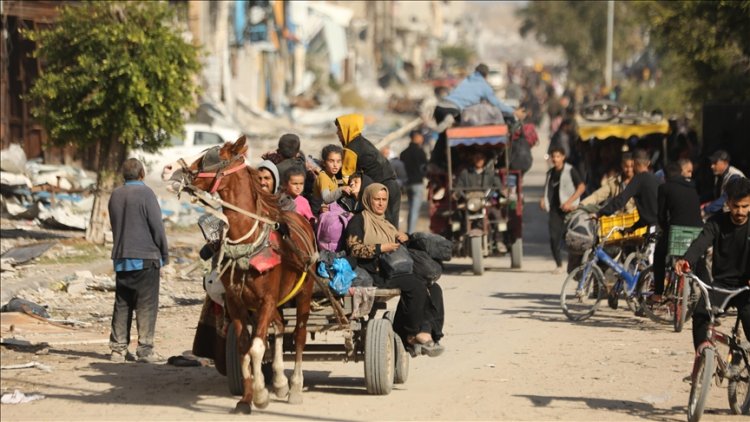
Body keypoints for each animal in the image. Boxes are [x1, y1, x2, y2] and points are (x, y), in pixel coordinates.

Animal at [169, 137, 318, 414]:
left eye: (210, 158)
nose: (173, 170)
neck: (247, 243)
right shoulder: (237, 303)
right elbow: (244, 348)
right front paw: (247, 398)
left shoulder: (266, 301)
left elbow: (257, 348)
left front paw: (260, 395)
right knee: (280, 327)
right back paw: (280, 381)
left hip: (303, 293)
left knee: (300, 335)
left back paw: (294, 387)